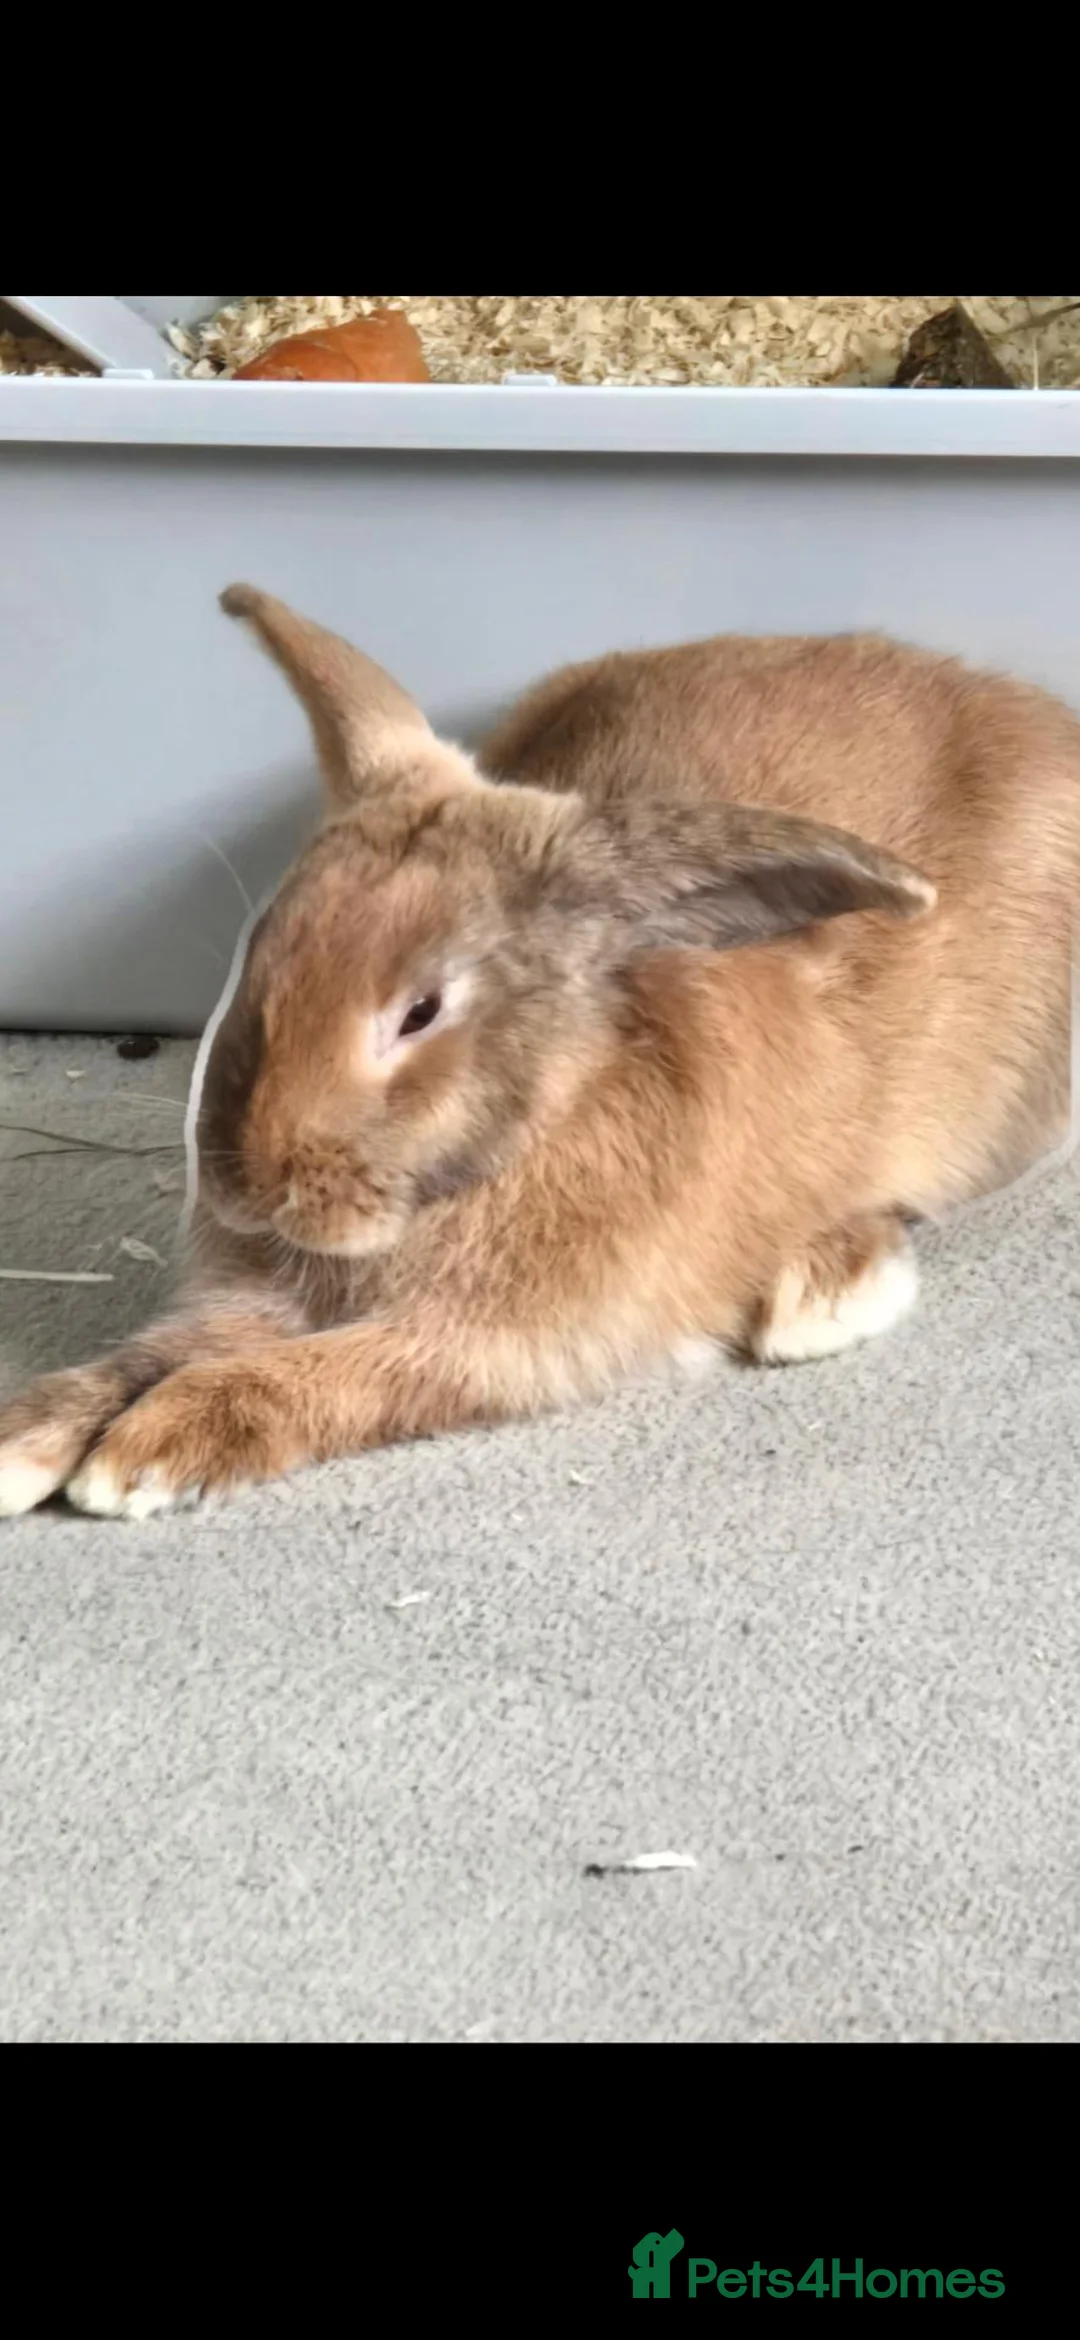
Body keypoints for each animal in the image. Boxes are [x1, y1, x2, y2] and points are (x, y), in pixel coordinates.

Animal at [0, 586, 1076, 1520]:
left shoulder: (489, 1345)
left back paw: (826, 1291)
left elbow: (326, 1374)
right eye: (262, 948)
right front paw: (23, 1438)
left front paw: (151, 1452)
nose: (249, 1186)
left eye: (421, 1011)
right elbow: (156, 1351)